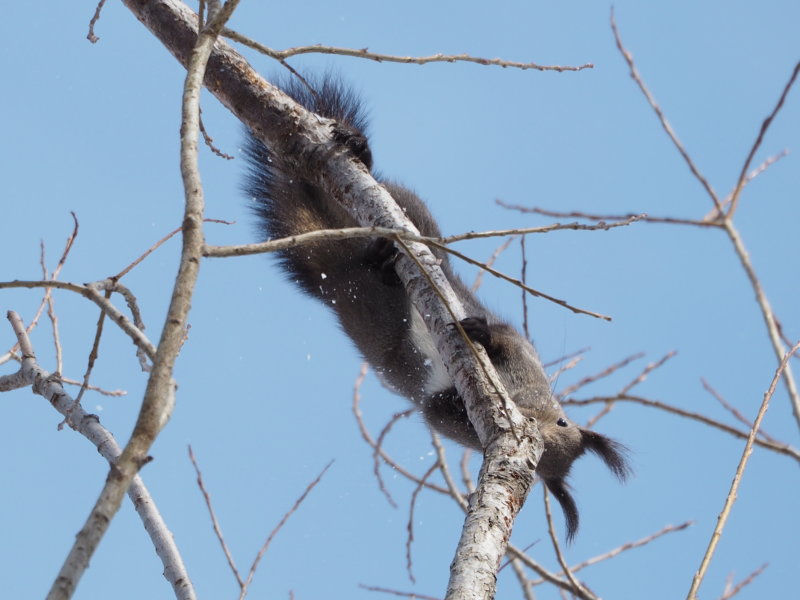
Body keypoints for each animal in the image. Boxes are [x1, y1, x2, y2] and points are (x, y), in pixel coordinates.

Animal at [241, 74, 628, 540]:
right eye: (564, 422)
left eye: (543, 467)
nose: (536, 419)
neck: (523, 394)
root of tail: (334, 264)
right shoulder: (521, 347)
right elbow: (503, 338)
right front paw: (481, 334)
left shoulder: (451, 418)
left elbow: (438, 408)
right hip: (404, 211)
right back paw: (360, 155)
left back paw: (379, 261)